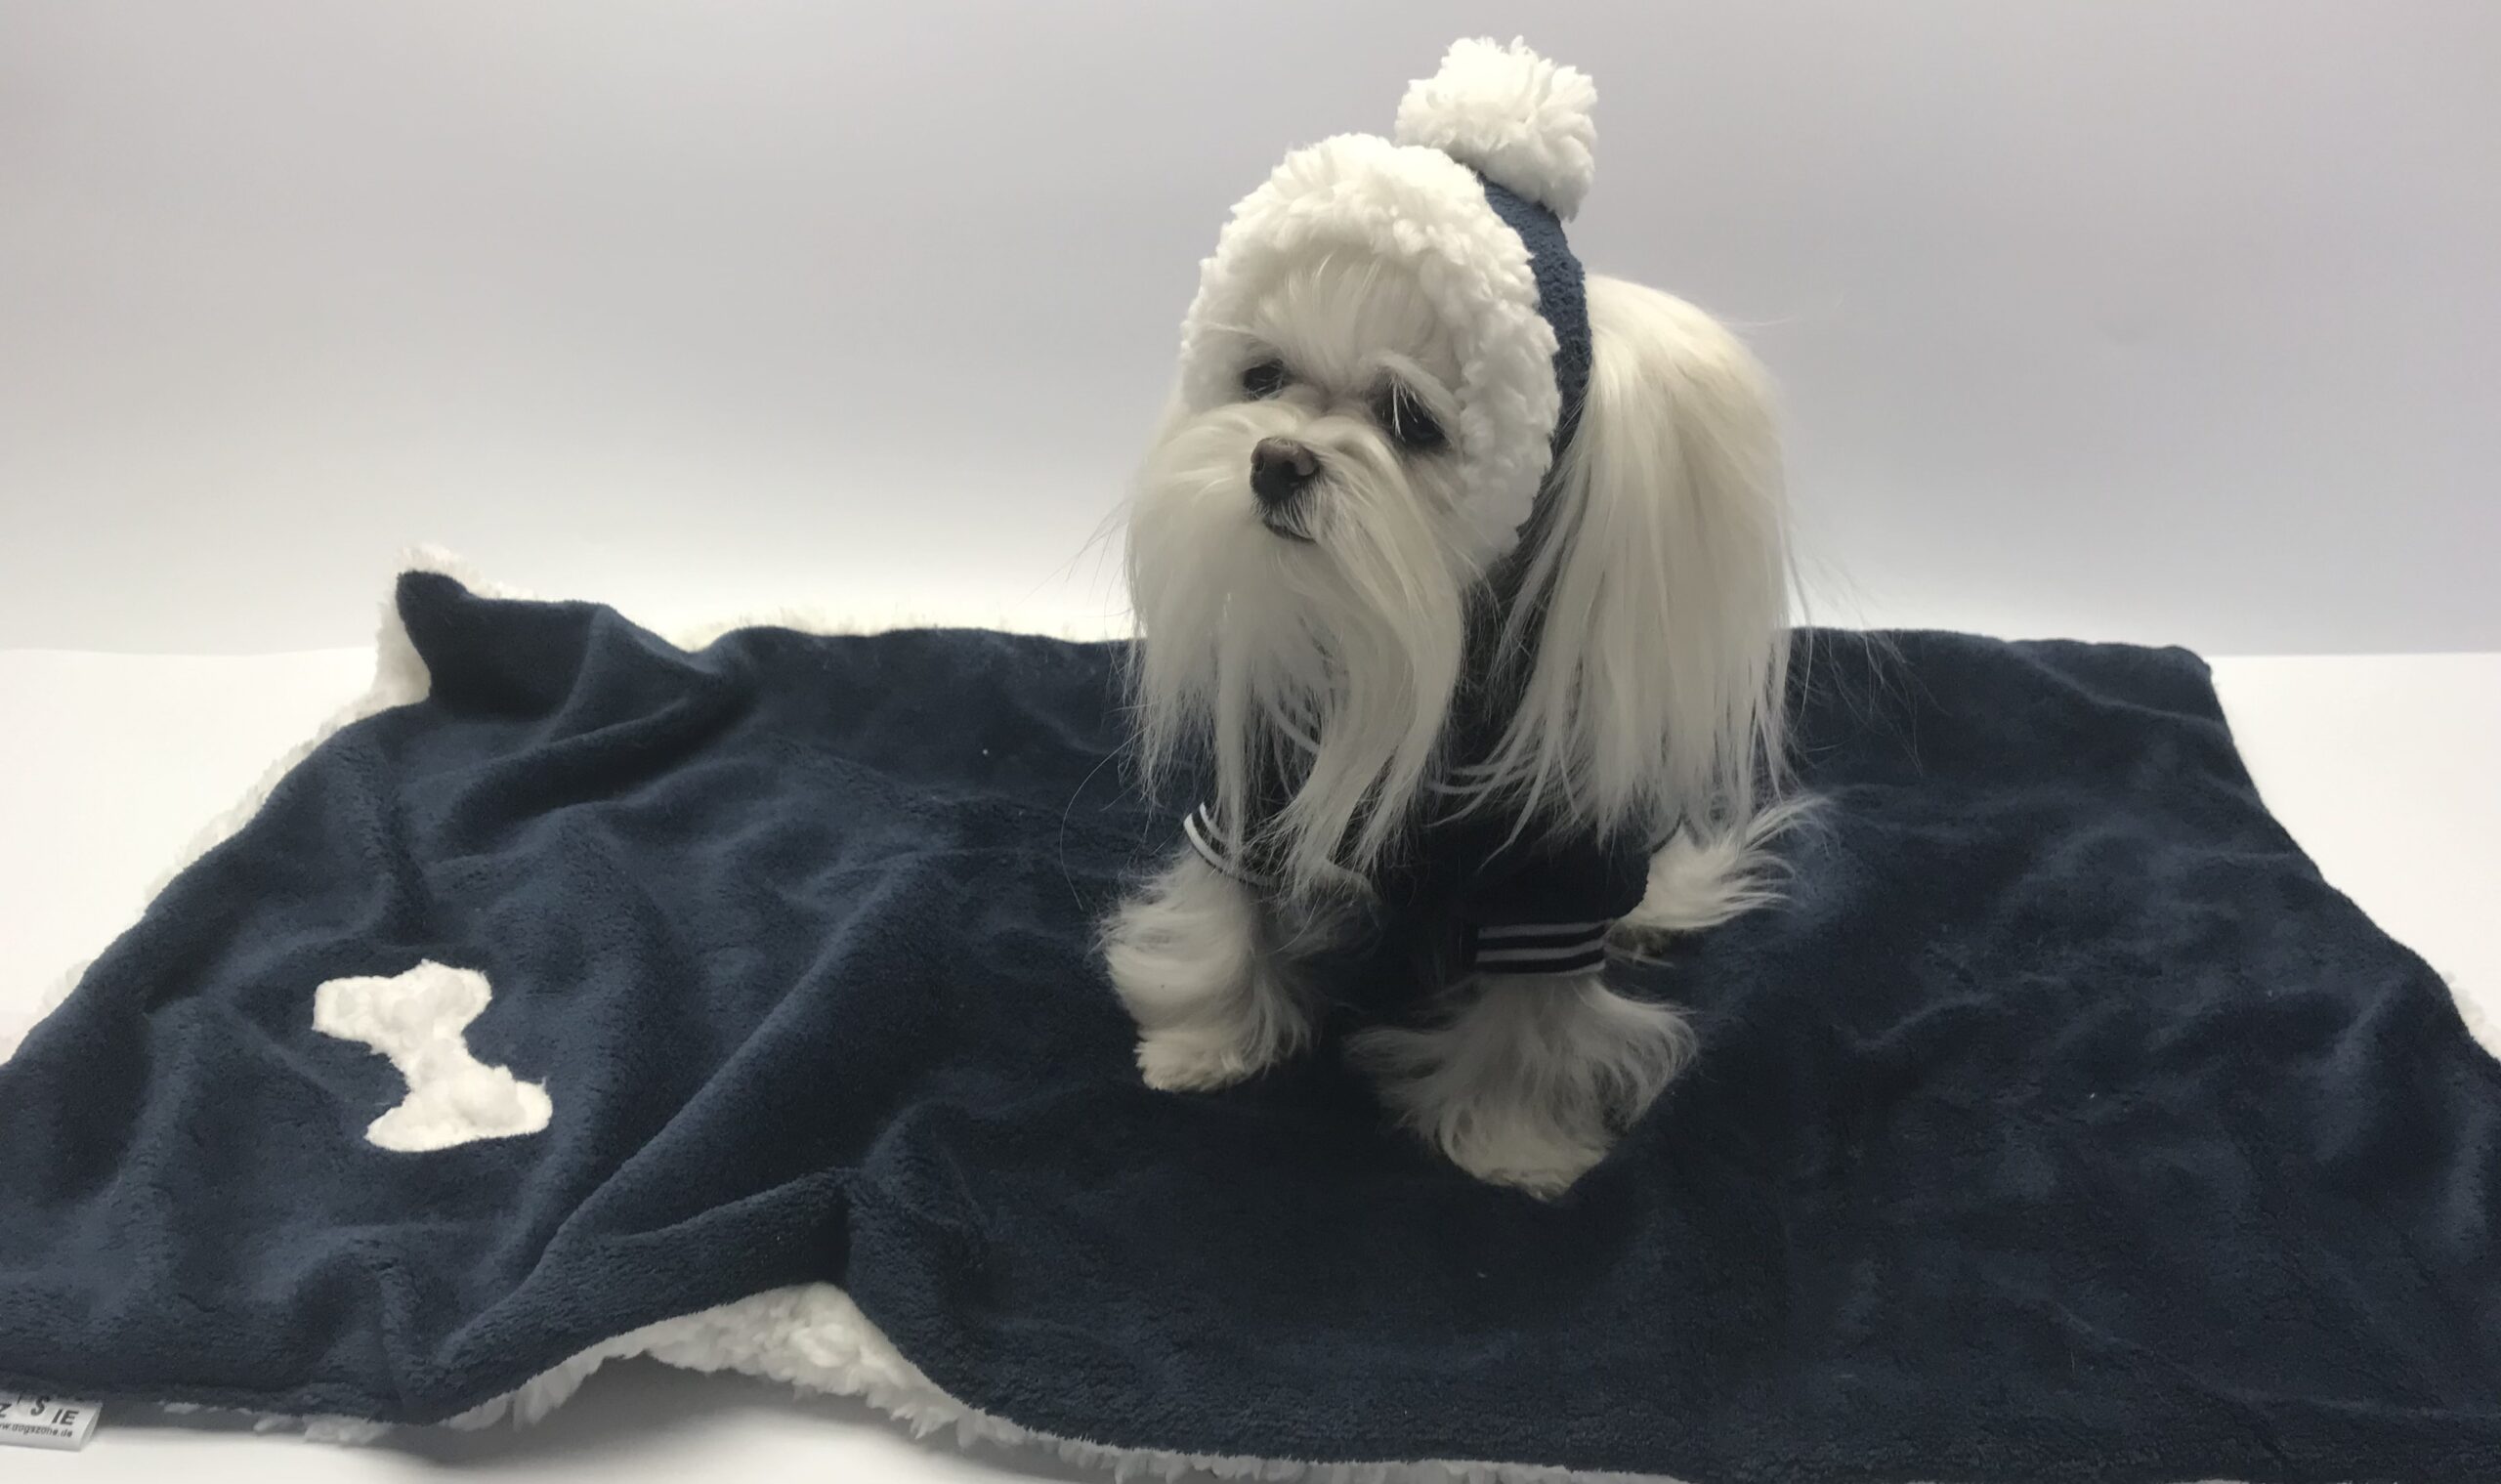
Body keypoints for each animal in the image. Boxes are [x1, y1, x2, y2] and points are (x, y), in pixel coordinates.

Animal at [1102, 39, 1795, 1197]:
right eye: (1262, 376)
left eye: (1410, 420)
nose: (1275, 458)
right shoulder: (1258, 778)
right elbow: (1230, 906)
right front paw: (1208, 1040)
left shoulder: (1550, 874)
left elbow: (1534, 1012)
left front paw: (1513, 1140)